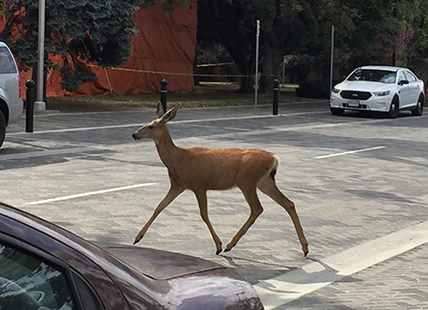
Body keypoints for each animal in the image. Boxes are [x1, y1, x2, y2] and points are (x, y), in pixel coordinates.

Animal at [132, 103, 310, 256]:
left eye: (151, 126)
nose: (134, 134)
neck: (178, 159)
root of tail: (274, 158)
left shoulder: (199, 185)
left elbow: (204, 214)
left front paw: (218, 246)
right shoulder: (177, 186)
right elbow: (158, 207)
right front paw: (137, 238)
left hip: (247, 181)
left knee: (257, 208)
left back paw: (229, 245)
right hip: (264, 181)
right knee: (288, 203)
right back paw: (305, 248)